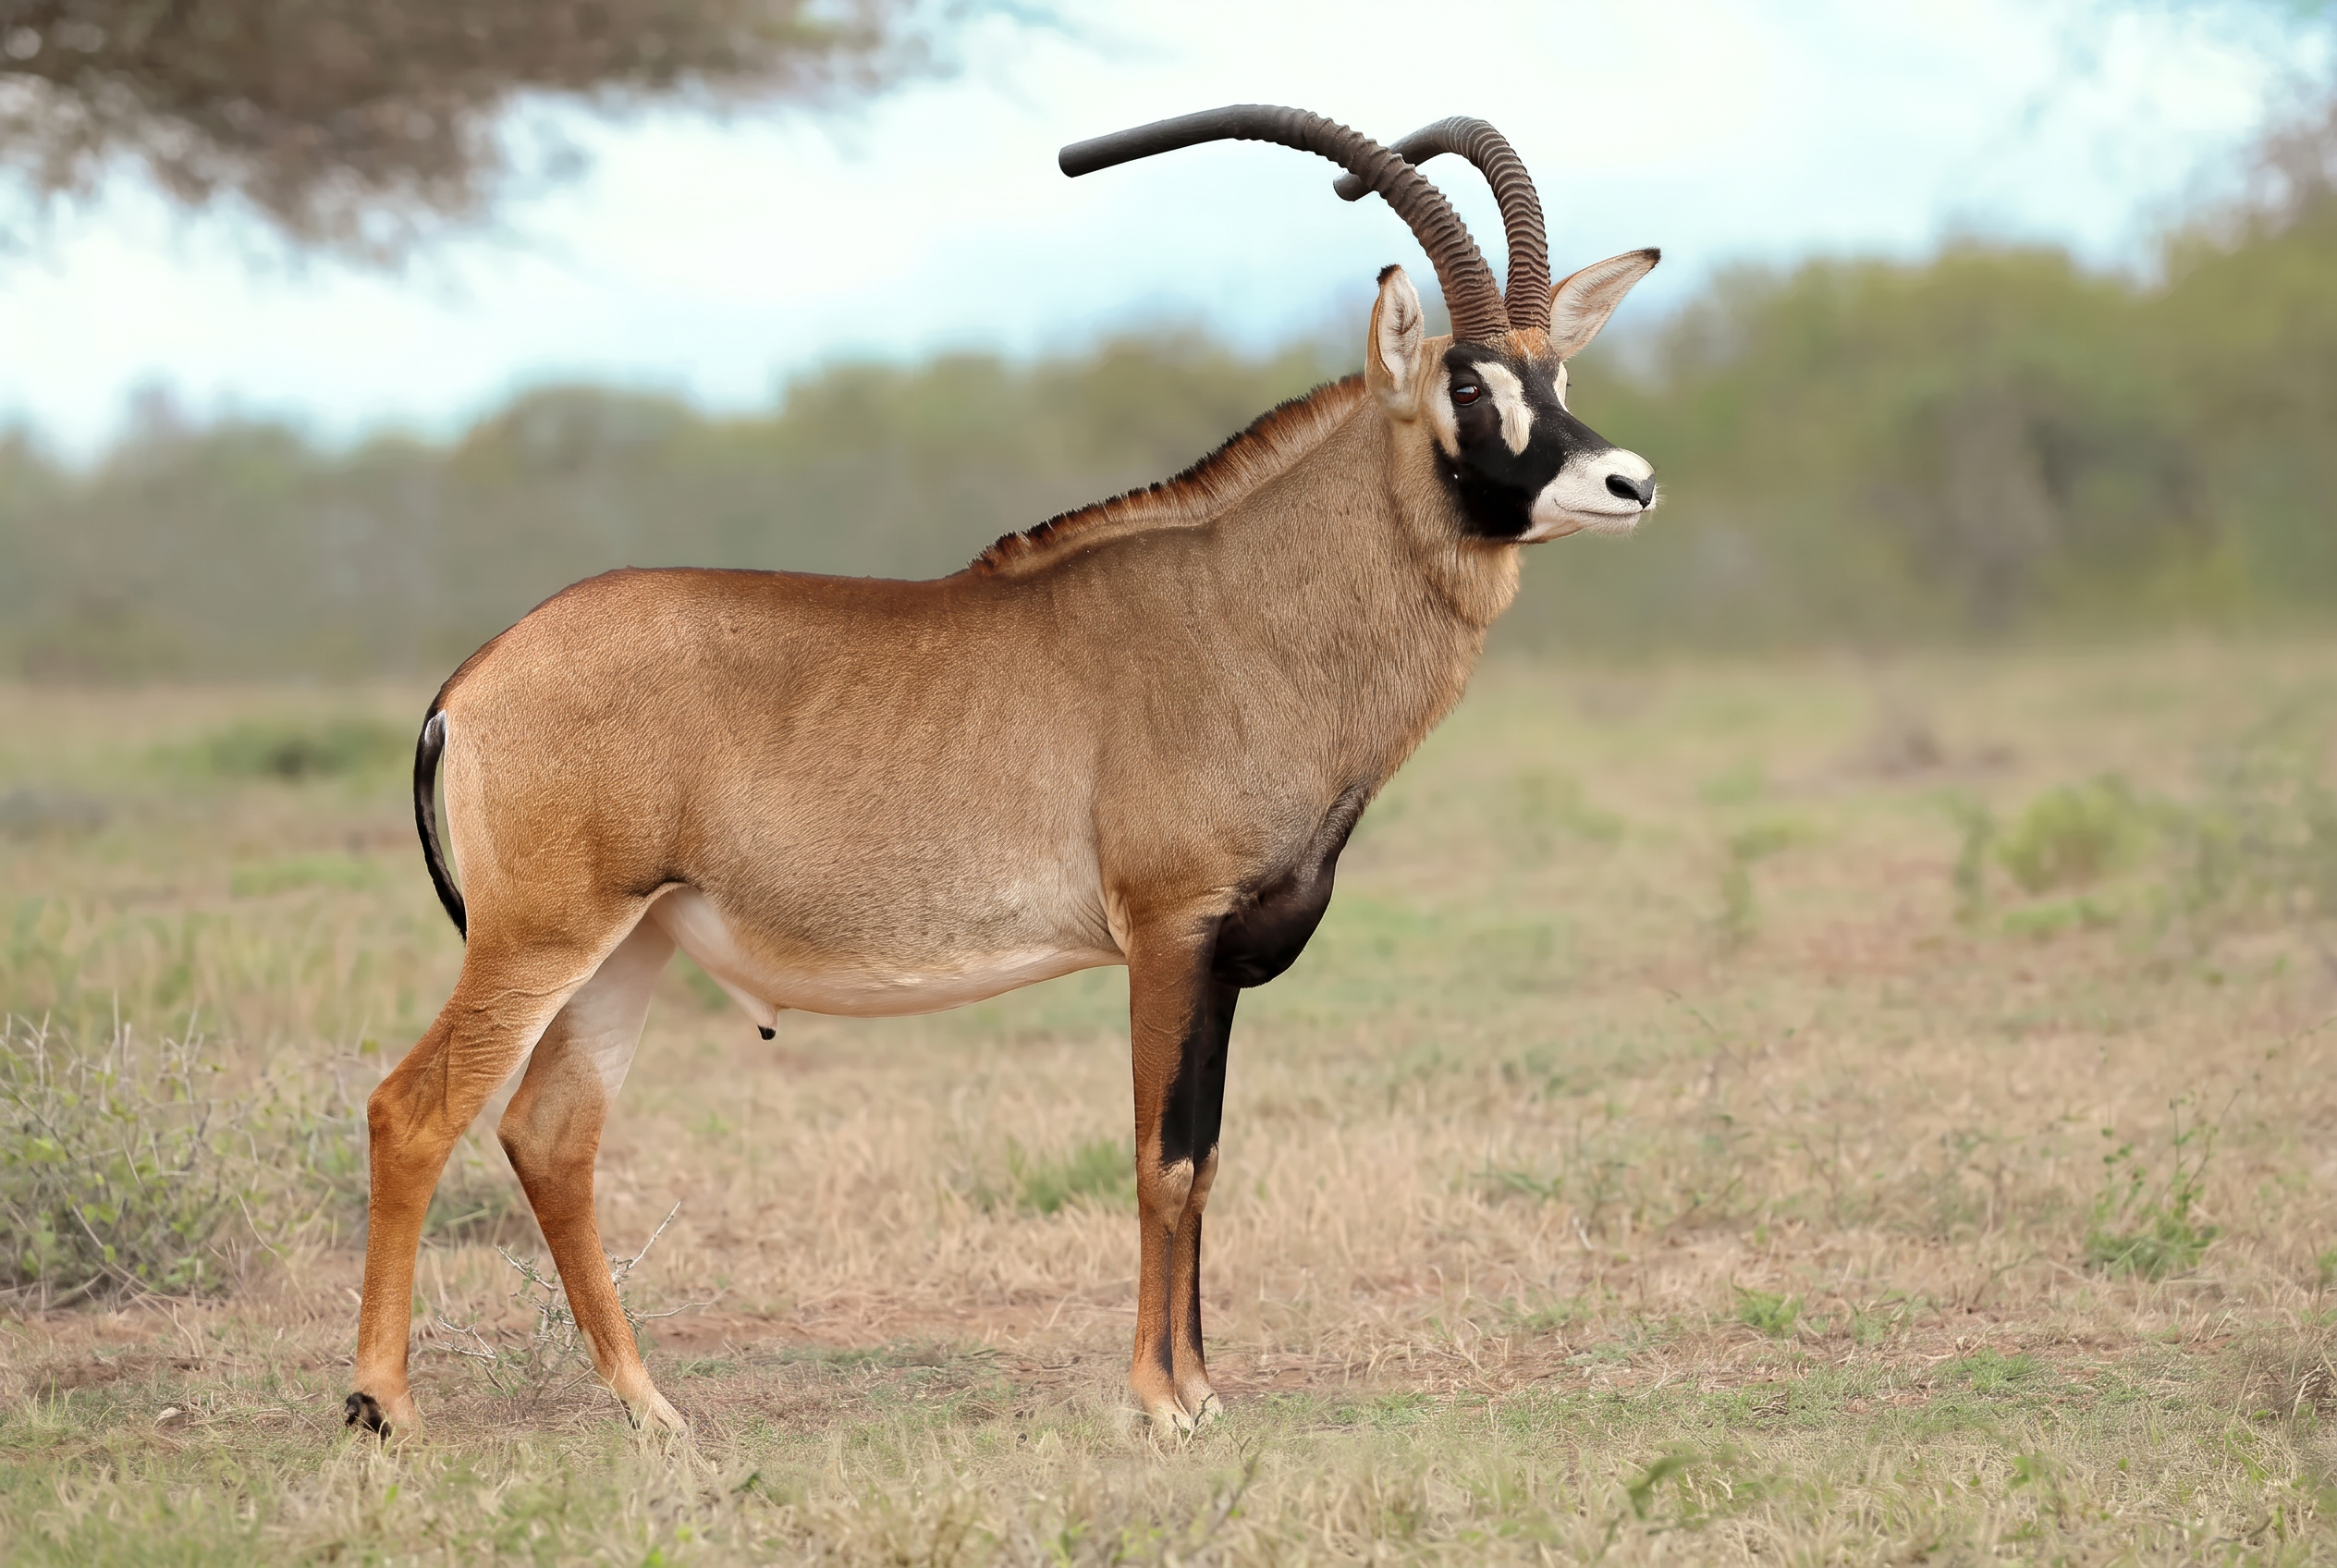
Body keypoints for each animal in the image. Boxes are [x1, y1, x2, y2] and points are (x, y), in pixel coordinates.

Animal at [345, 104, 1661, 1439]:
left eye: (1559, 375)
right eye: (1465, 381)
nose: (1630, 482)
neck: (1248, 613)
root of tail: (475, 677)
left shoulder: (1220, 959)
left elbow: (1206, 1157)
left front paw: (1201, 1388)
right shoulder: (1169, 935)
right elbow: (1161, 1160)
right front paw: (1159, 1399)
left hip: (630, 943)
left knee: (552, 1133)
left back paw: (653, 1411)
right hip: (541, 935)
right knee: (415, 1109)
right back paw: (382, 1405)